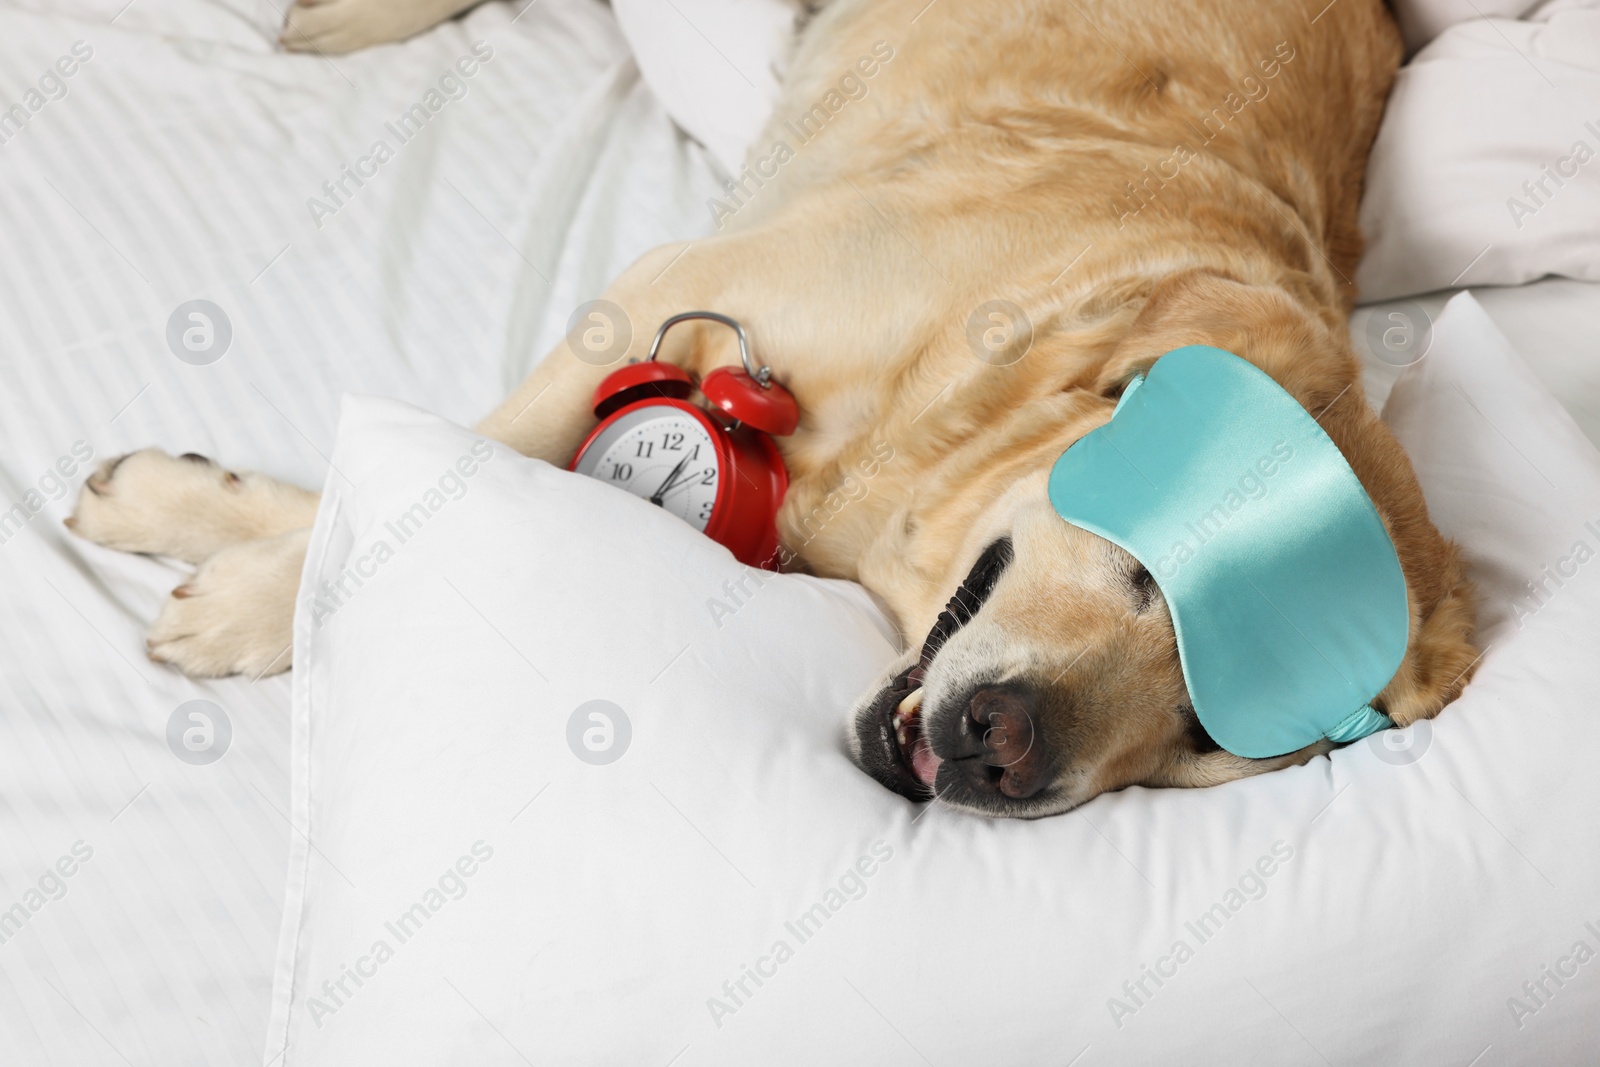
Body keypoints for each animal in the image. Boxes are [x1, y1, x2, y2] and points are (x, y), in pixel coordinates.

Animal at [72, 0, 1472, 819]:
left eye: (1211, 737)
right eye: (1145, 567)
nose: (1004, 753)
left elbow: (428, 476)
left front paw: (226, 538)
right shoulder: (669, 292)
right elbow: (458, 460)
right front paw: (244, 582)